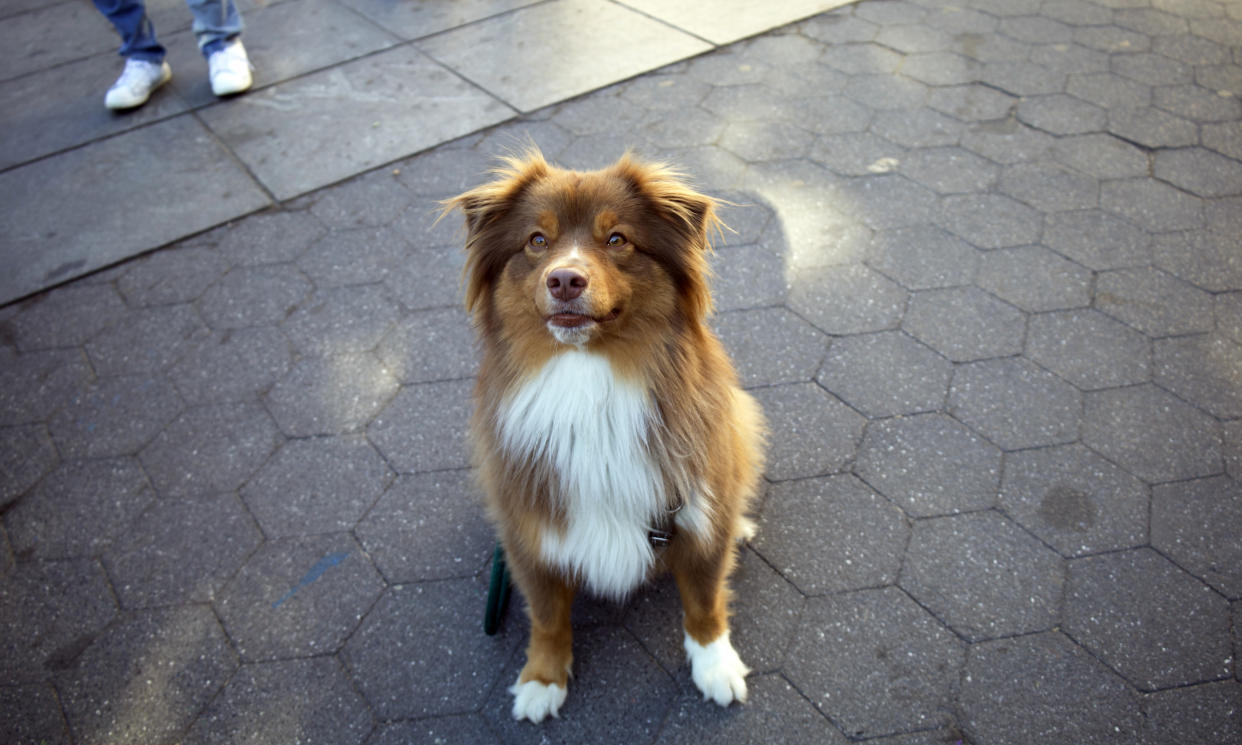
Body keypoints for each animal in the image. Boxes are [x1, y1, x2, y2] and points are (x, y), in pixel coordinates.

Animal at [447, 149, 765, 720]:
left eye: (617, 239)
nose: (564, 280)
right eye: (536, 240)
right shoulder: (530, 532)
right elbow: (547, 616)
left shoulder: (696, 510)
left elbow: (705, 601)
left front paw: (716, 666)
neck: (588, 381)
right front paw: (542, 679)